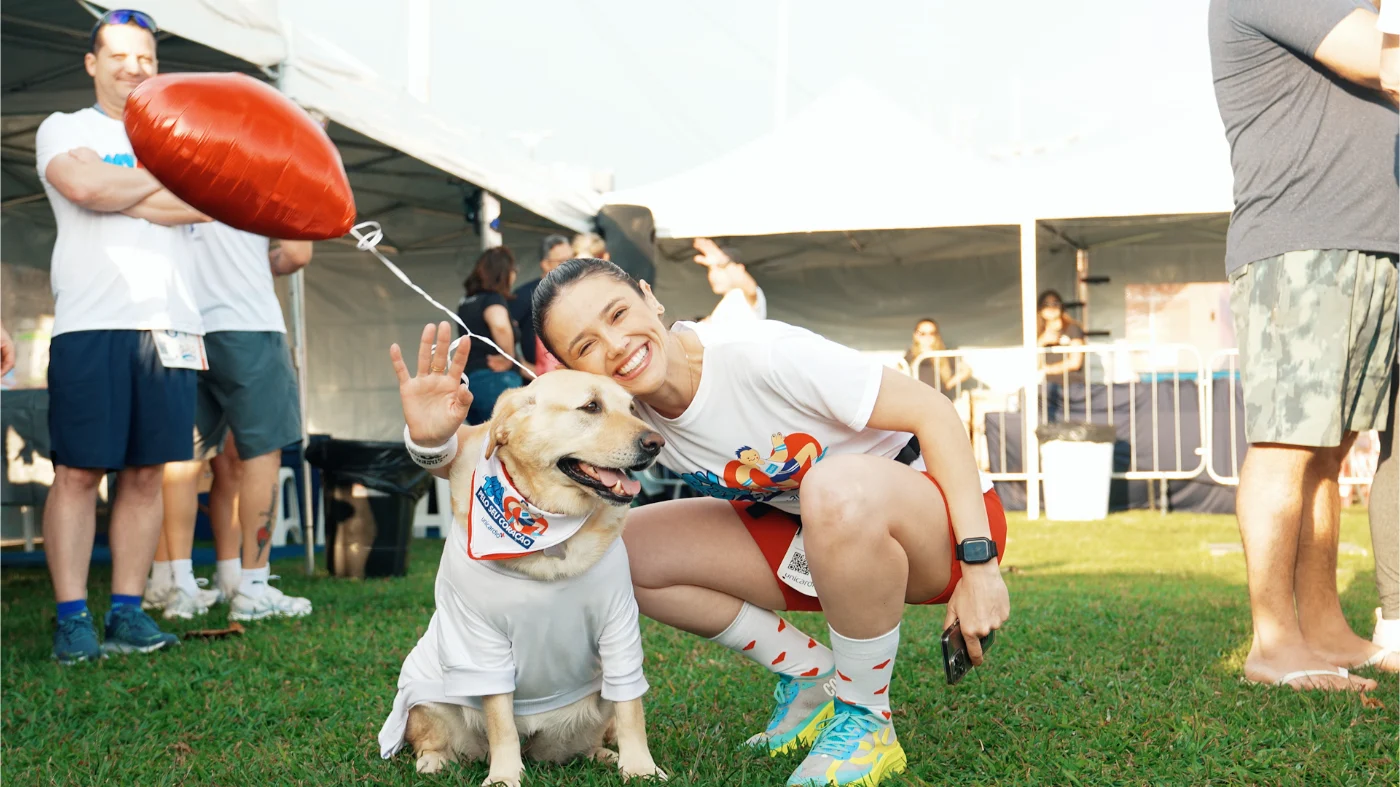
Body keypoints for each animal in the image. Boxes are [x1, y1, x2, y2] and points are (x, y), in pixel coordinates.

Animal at [378, 370, 668, 786]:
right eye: (591, 406)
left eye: (632, 408)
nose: (656, 443)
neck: (552, 538)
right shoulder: (482, 639)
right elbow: (501, 723)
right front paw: (504, 775)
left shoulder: (619, 626)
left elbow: (631, 709)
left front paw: (641, 768)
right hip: (425, 695)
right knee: (432, 738)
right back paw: (435, 761)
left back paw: (603, 754)